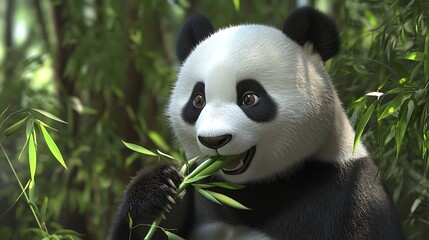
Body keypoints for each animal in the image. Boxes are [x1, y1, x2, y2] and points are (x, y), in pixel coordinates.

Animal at [108, 7, 402, 240]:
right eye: (198, 100)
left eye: (249, 97)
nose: (214, 140)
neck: (252, 188)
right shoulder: (201, 189)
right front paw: (159, 185)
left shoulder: (347, 193)